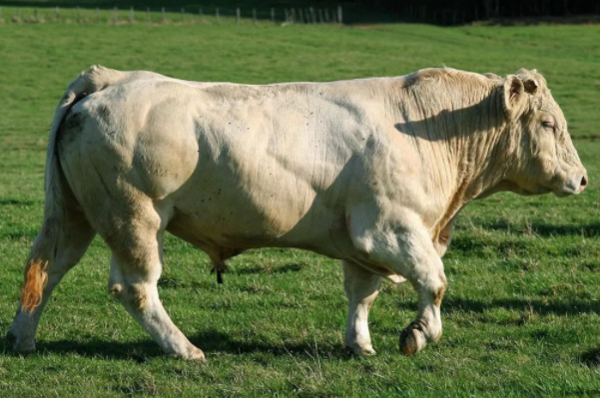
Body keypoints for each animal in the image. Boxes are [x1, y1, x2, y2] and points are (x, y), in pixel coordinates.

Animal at [5, 65, 584, 358]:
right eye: (549, 124)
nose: (581, 178)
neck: (426, 126)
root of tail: (110, 77)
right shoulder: (388, 228)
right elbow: (435, 281)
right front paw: (419, 333)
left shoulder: (361, 242)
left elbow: (362, 295)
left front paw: (360, 345)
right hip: (135, 217)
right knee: (136, 288)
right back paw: (184, 349)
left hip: (75, 215)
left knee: (45, 270)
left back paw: (23, 340)